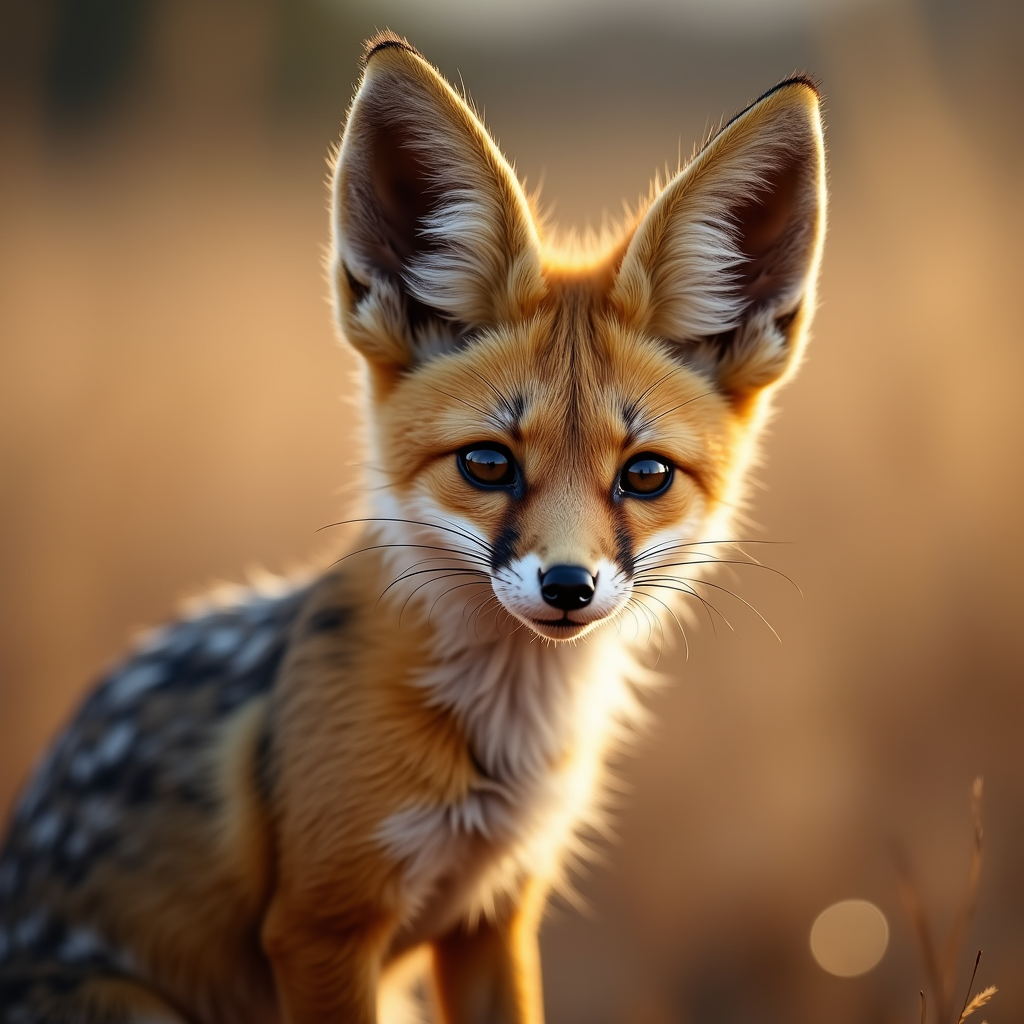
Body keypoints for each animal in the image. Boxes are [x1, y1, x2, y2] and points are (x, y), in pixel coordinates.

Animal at [0, 31, 826, 1024]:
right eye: (487, 465)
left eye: (645, 475)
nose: (568, 586)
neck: (495, 752)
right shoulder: (321, 929)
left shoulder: (494, 914)